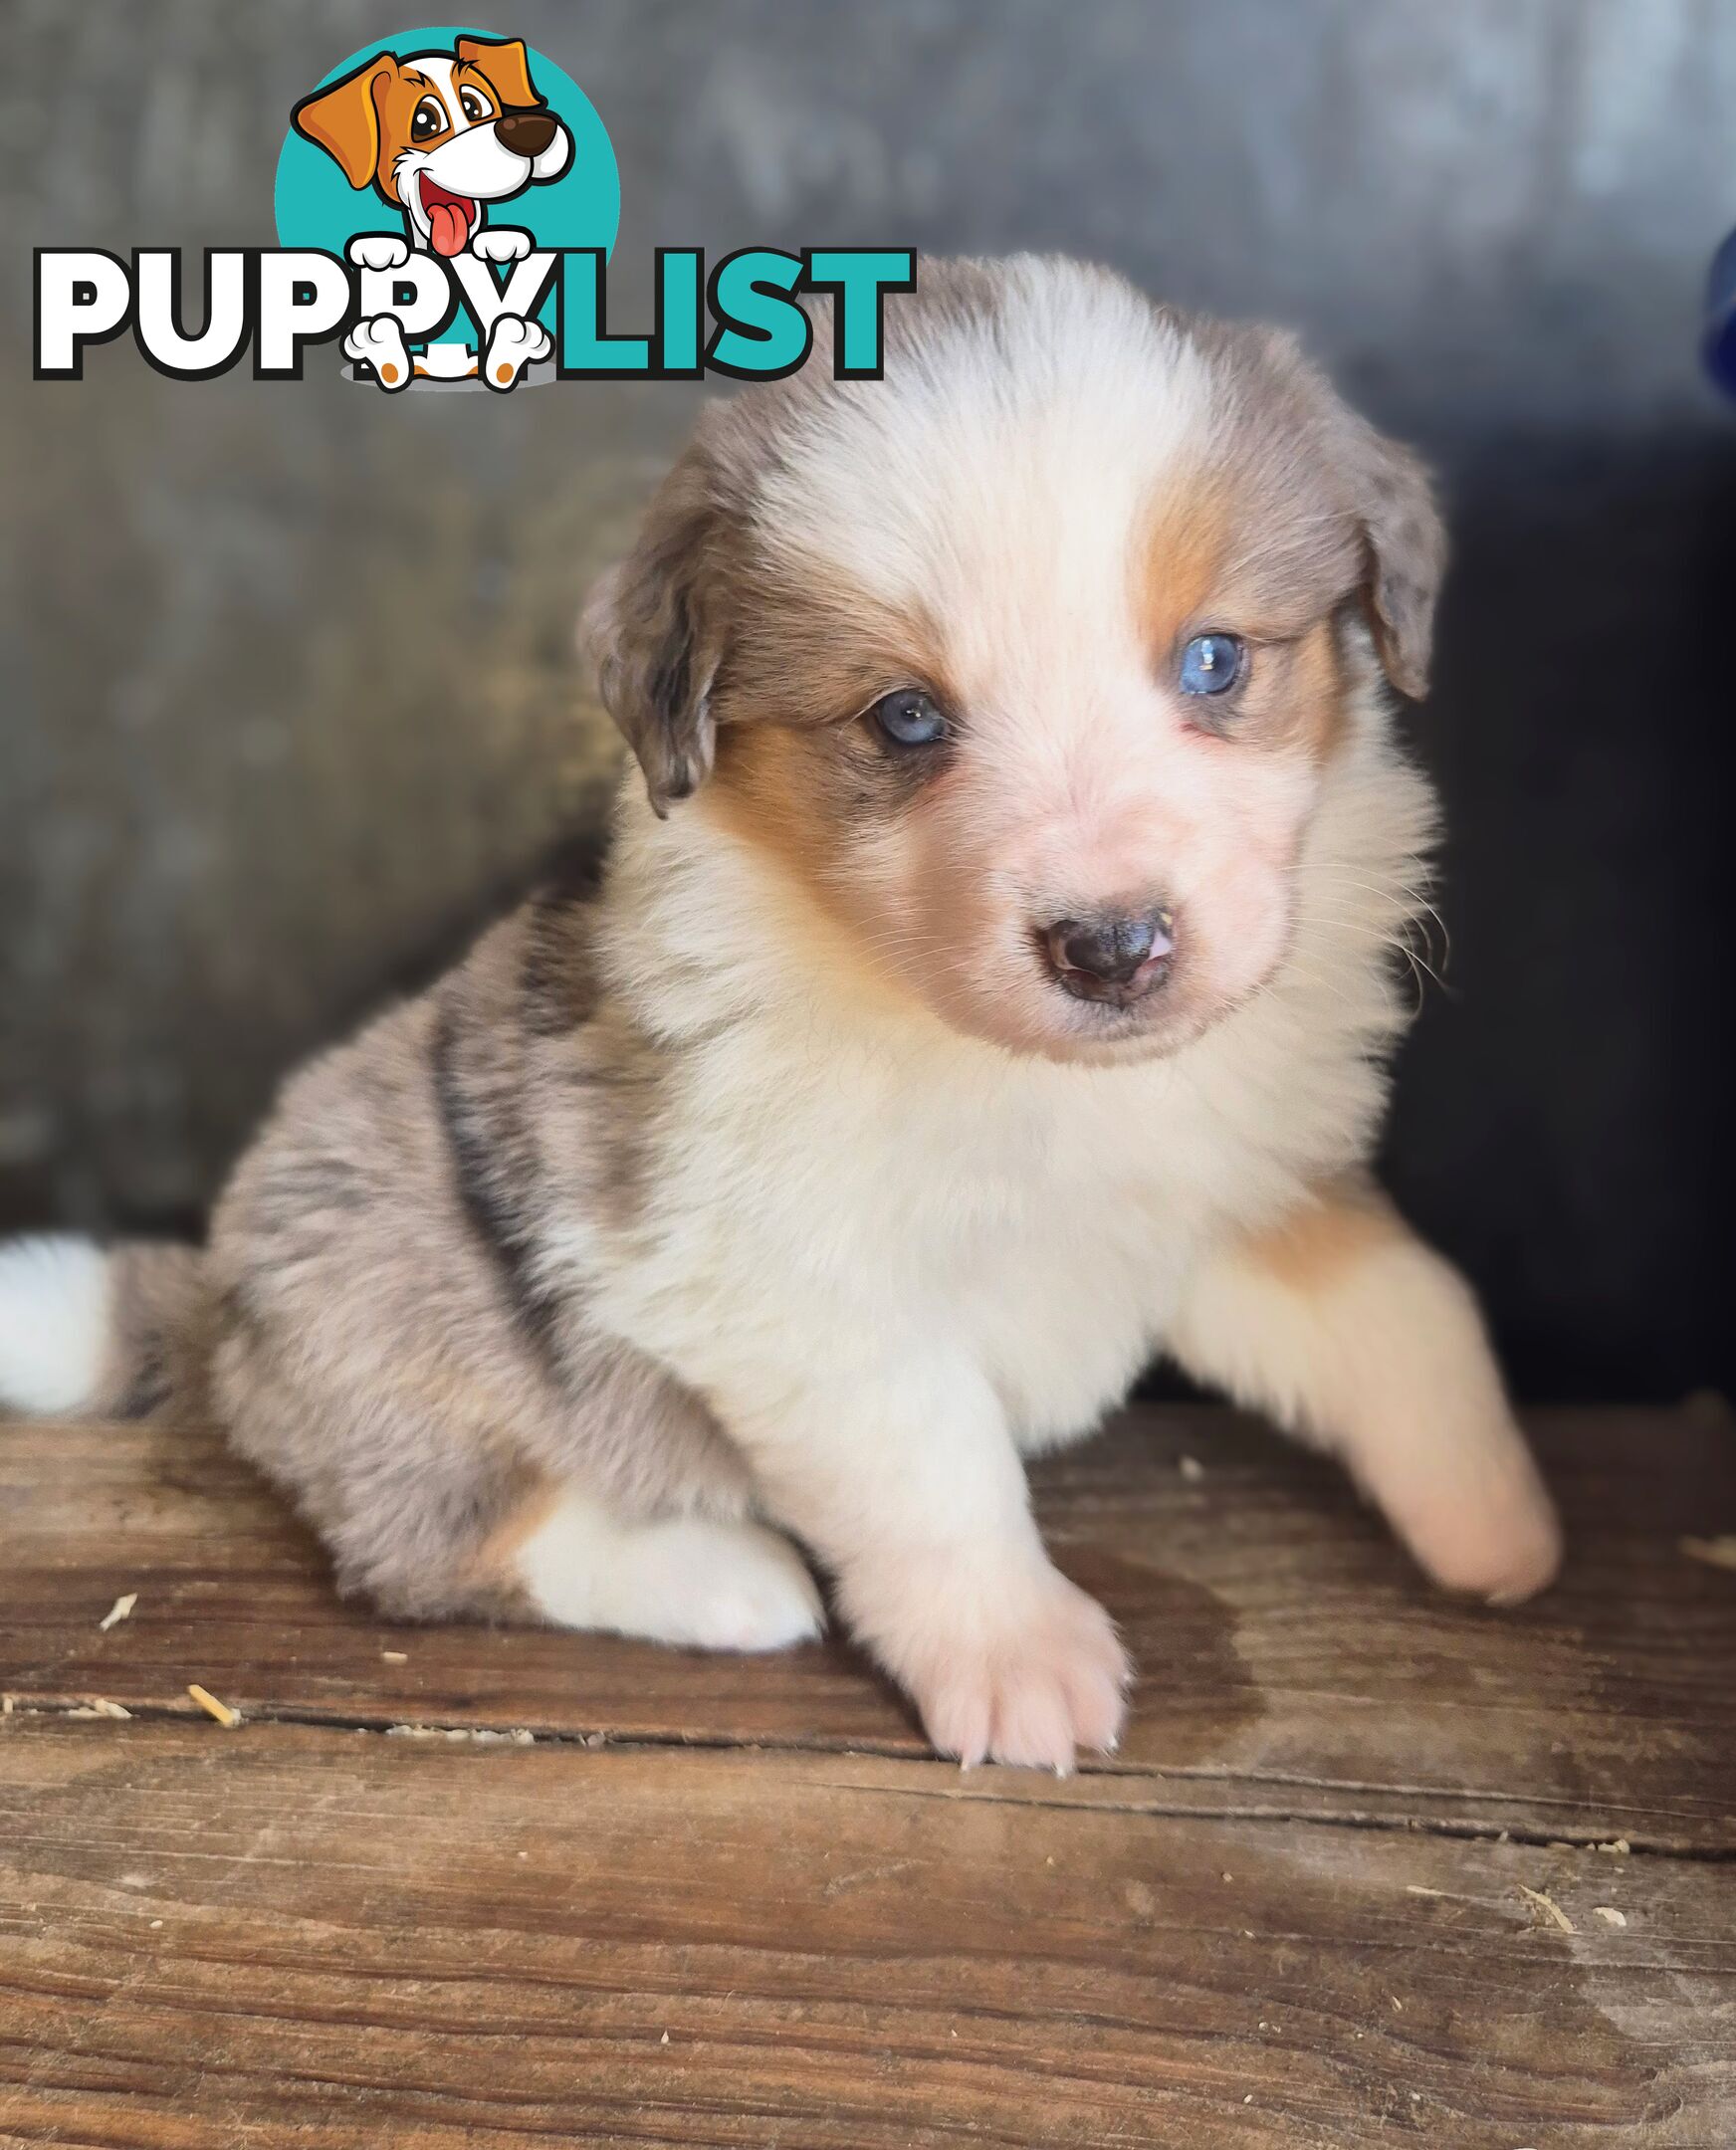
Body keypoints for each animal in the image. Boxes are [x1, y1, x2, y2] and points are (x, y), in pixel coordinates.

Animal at [0, 256, 1557, 1763]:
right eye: (906, 719)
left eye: (1217, 660)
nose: (1113, 948)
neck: (1032, 1078)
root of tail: (218, 1306)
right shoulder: (796, 1285)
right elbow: (937, 1468)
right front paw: (1019, 1663)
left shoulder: (1237, 1188)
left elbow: (1411, 1308)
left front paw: (1505, 1525)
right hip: (400, 1303)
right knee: (432, 1538)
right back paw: (722, 1578)